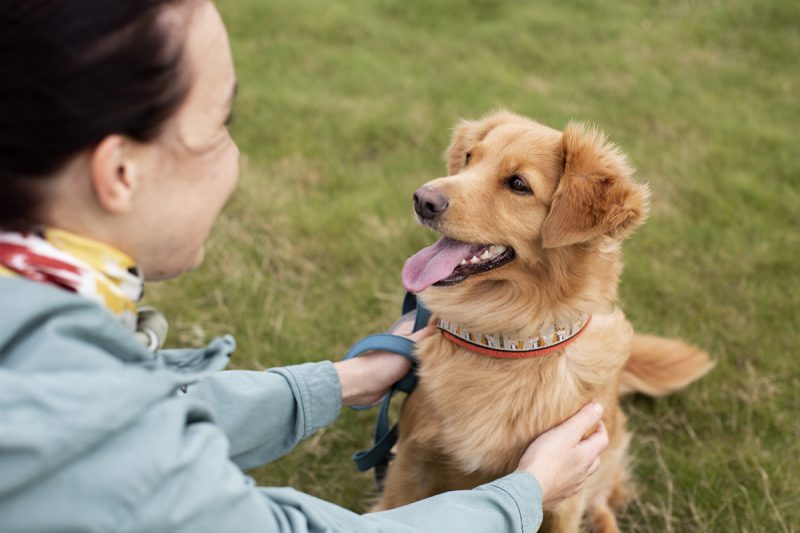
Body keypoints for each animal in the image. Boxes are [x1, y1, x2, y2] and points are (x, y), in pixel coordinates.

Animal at [378, 110, 716, 528]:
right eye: (470, 158)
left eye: (518, 184)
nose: (422, 199)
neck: (508, 343)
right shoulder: (411, 461)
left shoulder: (568, 492)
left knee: (603, 504)